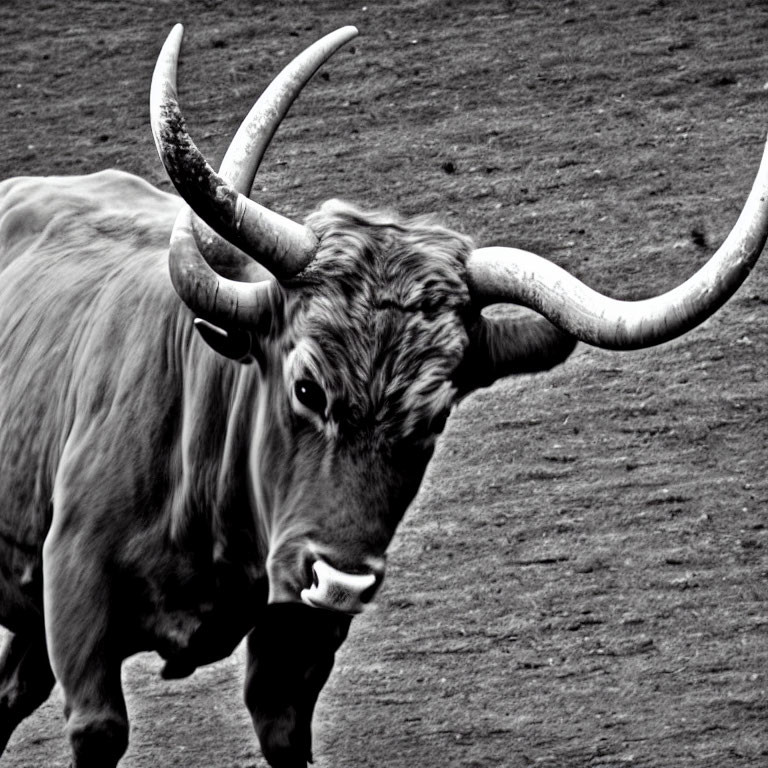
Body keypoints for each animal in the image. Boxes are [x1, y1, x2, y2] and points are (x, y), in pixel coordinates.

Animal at [0, 24, 764, 768]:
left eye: (436, 415)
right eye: (306, 386)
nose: (340, 582)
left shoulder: (296, 640)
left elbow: (283, 727)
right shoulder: (79, 612)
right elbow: (100, 728)